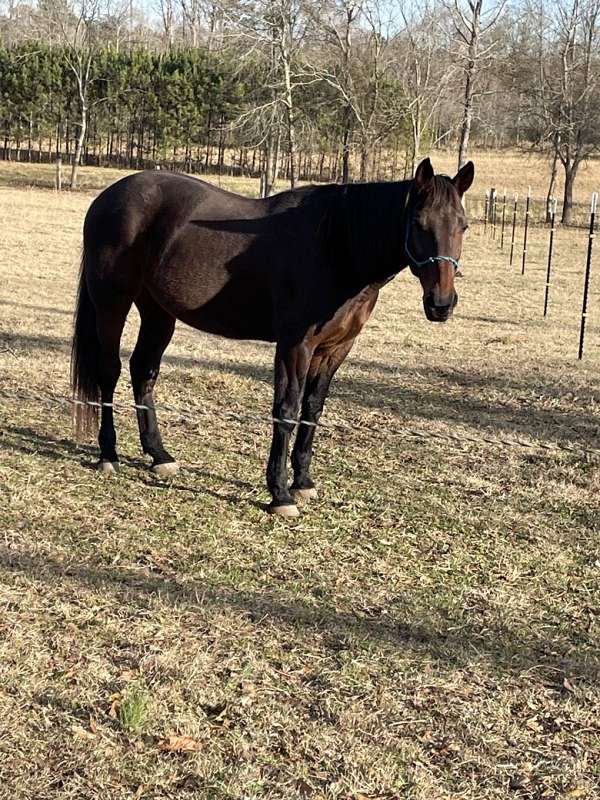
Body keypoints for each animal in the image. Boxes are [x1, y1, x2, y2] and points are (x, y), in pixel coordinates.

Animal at [70, 158, 474, 520]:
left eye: (464, 226)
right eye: (419, 224)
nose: (441, 304)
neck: (336, 245)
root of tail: (107, 197)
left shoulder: (334, 350)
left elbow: (312, 411)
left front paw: (303, 482)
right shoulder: (295, 346)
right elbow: (287, 411)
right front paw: (280, 494)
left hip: (158, 313)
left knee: (144, 371)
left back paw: (160, 456)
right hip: (112, 305)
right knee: (110, 372)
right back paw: (108, 455)